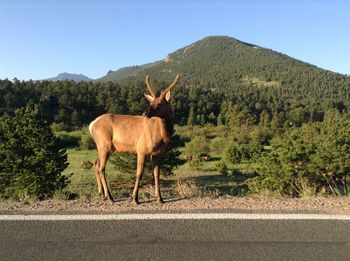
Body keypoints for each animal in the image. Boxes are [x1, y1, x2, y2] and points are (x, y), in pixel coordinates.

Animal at [89, 74, 180, 204]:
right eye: (151, 102)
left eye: (160, 103)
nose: (145, 113)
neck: (162, 137)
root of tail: (91, 125)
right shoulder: (141, 149)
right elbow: (139, 173)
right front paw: (135, 198)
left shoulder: (158, 153)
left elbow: (156, 174)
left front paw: (160, 198)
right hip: (104, 145)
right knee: (101, 168)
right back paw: (110, 197)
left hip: (105, 147)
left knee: (96, 164)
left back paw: (103, 194)